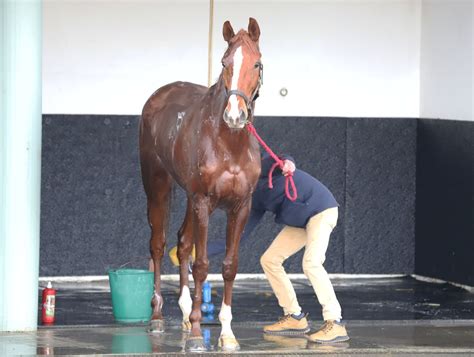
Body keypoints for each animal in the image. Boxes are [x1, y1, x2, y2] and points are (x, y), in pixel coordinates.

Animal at [139, 18, 262, 350]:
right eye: (224, 63)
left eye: (256, 64)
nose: (235, 115)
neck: (229, 143)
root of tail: (159, 95)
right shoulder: (204, 201)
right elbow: (203, 265)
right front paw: (196, 333)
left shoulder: (240, 206)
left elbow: (229, 266)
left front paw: (227, 334)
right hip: (158, 186)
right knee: (159, 245)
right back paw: (158, 316)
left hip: (189, 197)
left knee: (183, 242)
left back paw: (183, 312)